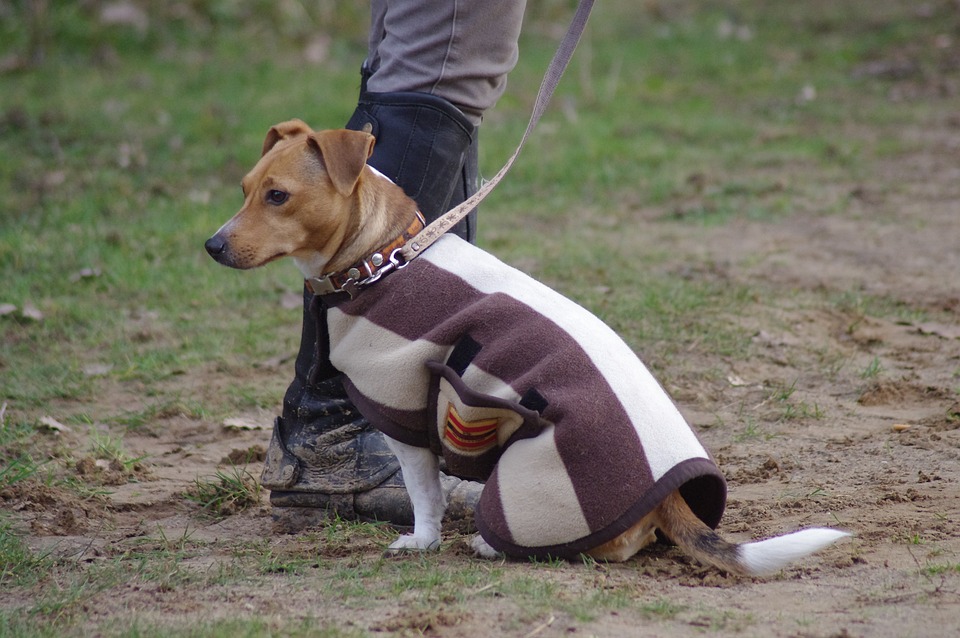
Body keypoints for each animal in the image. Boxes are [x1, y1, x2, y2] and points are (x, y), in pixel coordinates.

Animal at [204, 119, 848, 576]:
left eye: (279, 196)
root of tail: (668, 498)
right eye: (244, 190)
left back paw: (491, 545)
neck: (382, 258)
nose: (211, 245)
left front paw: (422, 541)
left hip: (530, 480)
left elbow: (424, 496)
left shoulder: (405, 413)